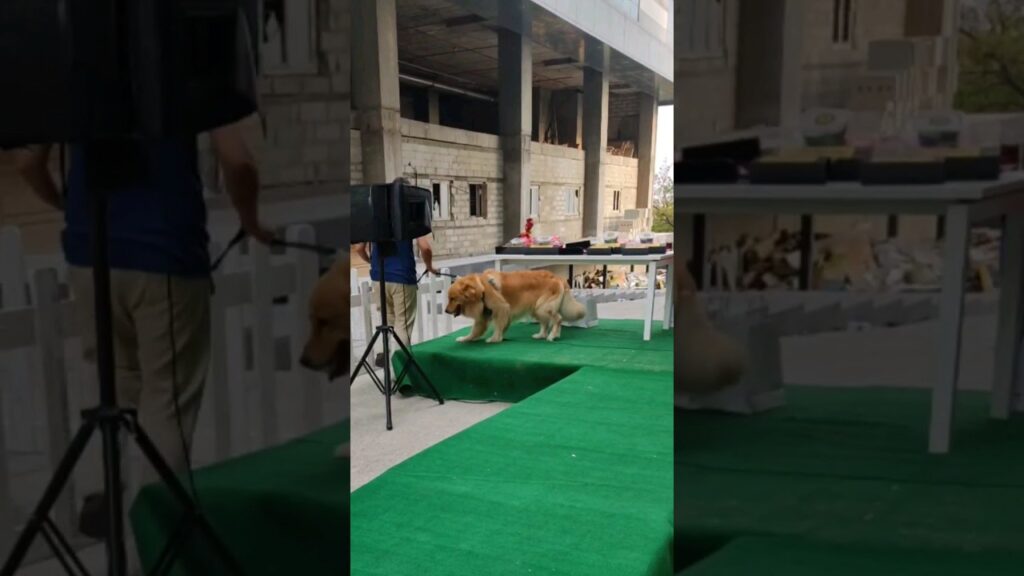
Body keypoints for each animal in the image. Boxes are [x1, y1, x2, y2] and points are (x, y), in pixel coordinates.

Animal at [446, 268, 589, 342]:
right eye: (449, 298)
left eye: (452, 298)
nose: (446, 311)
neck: (482, 289)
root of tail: (557, 277)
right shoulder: (483, 317)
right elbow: (475, 331)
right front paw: (466, 338)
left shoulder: (501, 308)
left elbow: (498, 326)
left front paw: (494, 339)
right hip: (536, 308)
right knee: (547, 322)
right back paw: (543, 335)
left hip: (543, 306)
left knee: (558, 318)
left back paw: (551, 336)